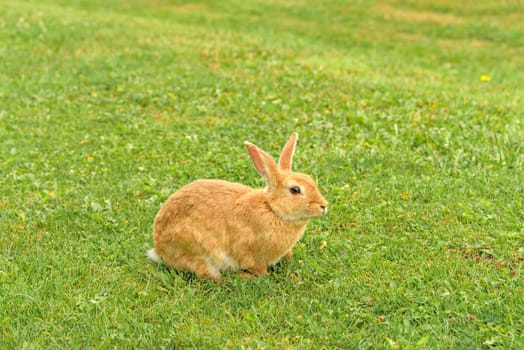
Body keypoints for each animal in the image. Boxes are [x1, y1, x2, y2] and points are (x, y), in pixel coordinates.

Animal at [147, 132, 328, 282]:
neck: (272, 209)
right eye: (295, 190)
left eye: (310, 178)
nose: (323, 206)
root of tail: (159, 248)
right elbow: (259, 270)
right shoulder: (250, 253)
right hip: (197, 250)